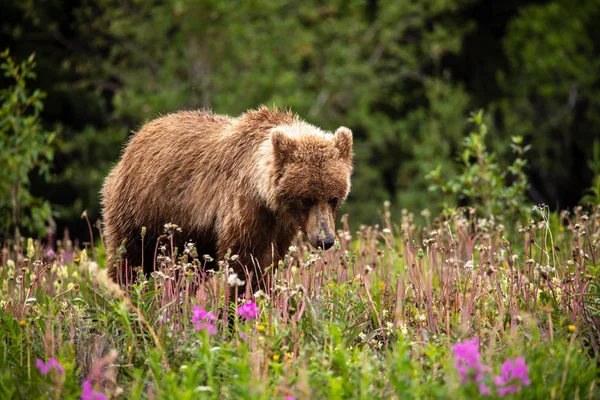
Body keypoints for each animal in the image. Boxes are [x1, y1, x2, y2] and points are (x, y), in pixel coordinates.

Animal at [101, 106, 354, 288]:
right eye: (306, 198)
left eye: (334, 198)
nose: (325, 239)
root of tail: (134, 139)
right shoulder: (243, 207)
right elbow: (241, 263)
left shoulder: (281, 226)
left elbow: (267, 264)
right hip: (140, 208)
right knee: (128, 259)